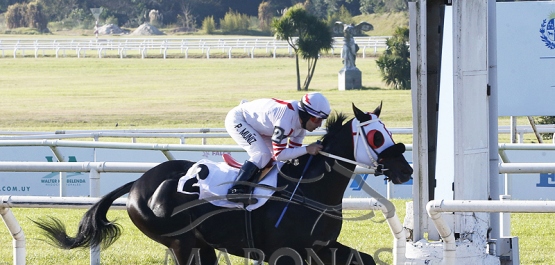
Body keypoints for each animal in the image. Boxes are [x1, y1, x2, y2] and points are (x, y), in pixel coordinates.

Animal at [31, 103, 412, 264]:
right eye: (377, 135)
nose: (406, 170)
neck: (306, 189)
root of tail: (139, 182)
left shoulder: (322, 247)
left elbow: (366, 260)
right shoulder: (285, 252)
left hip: (202, 245)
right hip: (181, 243)